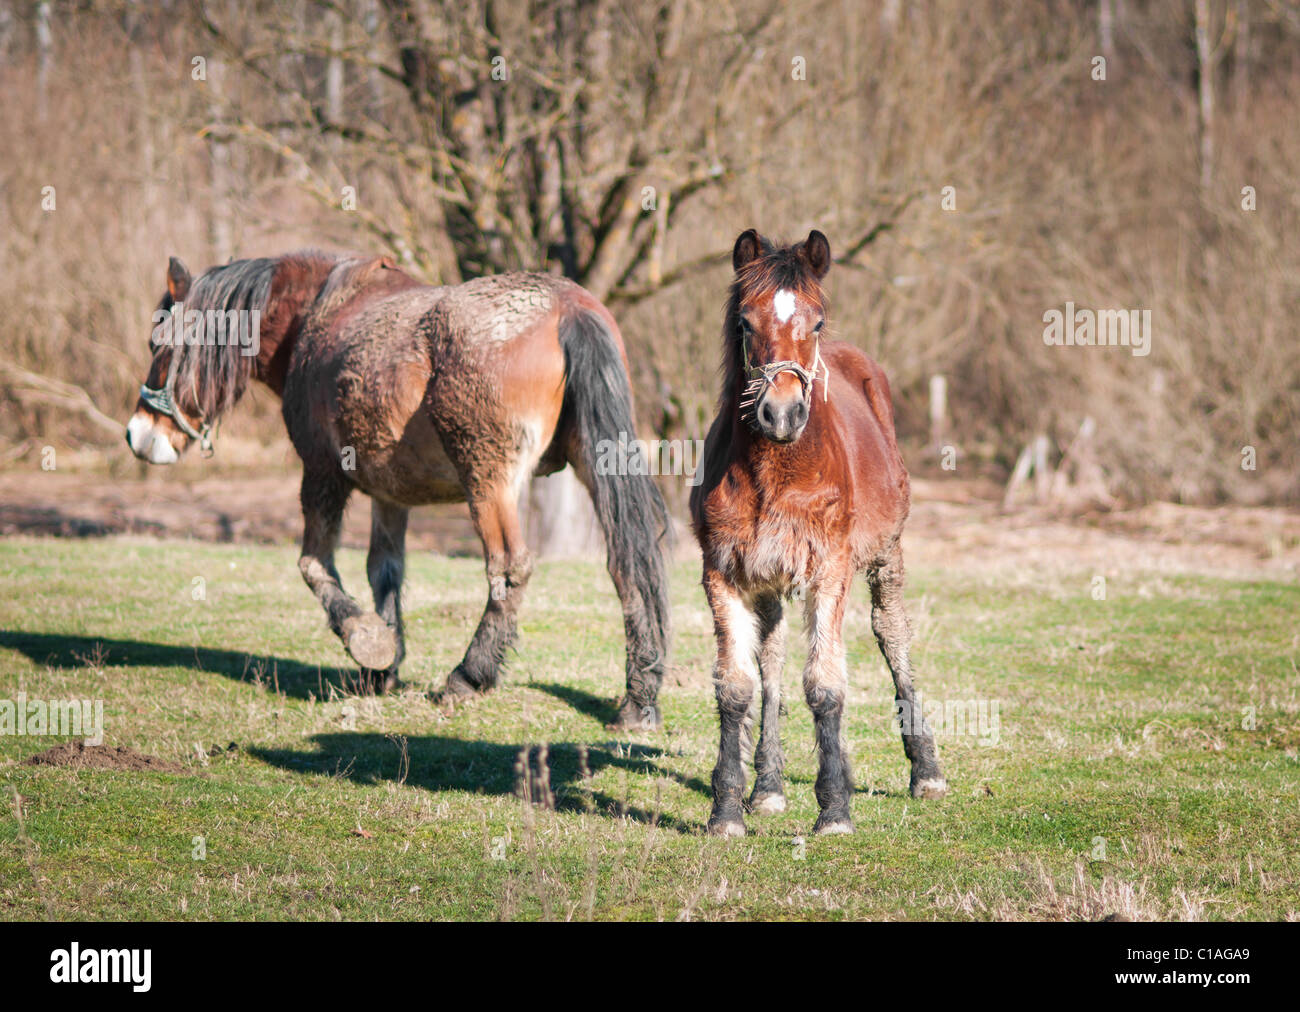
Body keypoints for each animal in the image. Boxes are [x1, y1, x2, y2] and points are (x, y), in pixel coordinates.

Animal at [125, 249, 670, 728]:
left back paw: (469, 674)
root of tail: (568, 307)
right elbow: (384, 571)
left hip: (488, 480)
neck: (316, 317)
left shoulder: (321, 474)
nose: (137, 433)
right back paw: (638, 699)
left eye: (159, 344)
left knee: (509, 568)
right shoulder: (390, 495)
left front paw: (365, 637)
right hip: (593, 463)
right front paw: (383, 666)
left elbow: (314, 566)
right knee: (628, 564)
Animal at [691, 230, 946, 837]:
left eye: (817, 322)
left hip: (885, 554)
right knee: (773, 657)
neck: (776, 470)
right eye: (745, 322)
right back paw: (768, 785)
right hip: (769, 581)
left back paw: (926, 772)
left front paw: (834, 808)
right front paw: (728, 809)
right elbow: (738, 686)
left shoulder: (830, 569)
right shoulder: (725, 573)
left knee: (891, 633)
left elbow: (825, 685)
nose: (781, 414)